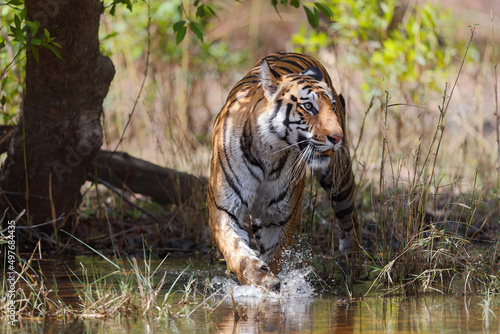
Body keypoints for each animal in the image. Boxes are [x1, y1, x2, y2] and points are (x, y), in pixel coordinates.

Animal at [208, 52, 360, 290]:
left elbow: (275, 253)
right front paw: (259, 279)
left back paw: (350, 262)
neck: (268, 154)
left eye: (333, 106)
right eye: (308, 106)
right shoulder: (224, 207)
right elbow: (235, 249)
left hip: (338, 178)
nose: (338, 137)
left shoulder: (282, 215)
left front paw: (271, 282)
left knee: (350, 217)